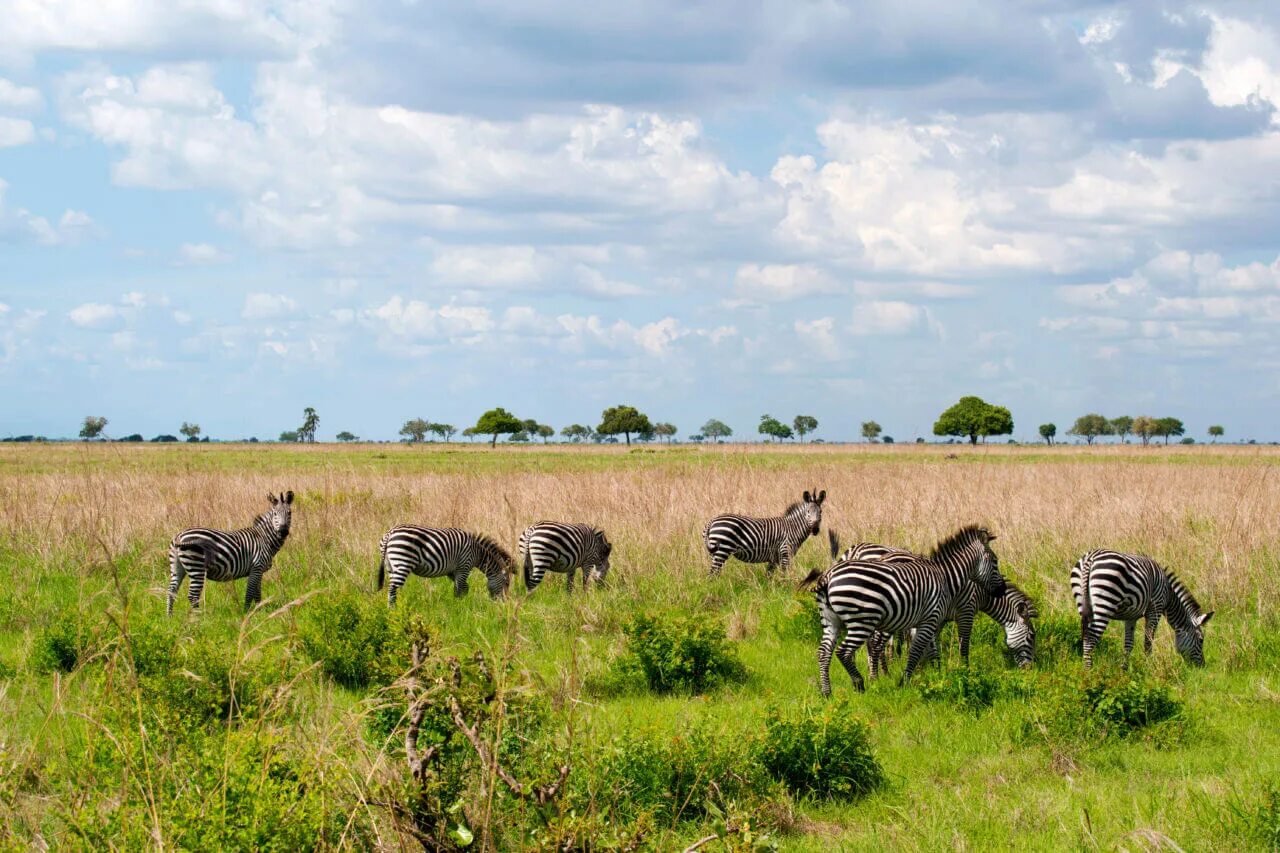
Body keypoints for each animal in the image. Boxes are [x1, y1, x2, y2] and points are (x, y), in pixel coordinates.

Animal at [373, 522, 514, 601]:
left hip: (391, 565)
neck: (478, 553)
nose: (505, 602)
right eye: (507, 583)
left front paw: (462, 603)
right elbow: (459, 588)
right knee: (392, 589)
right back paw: (392, 611)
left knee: (392, 589)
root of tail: (390, 533)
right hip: (402, 561)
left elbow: (464, 587)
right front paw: (458, 607)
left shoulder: (452, 571)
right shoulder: (464, 566)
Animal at [701, 489, 829, 573]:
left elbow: (769, 576)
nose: (815, 529)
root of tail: (712, 521)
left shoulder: (774, 558)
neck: (793, 527)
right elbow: (784, 575)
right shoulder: (785, 553)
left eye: (821, 512)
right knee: (712, 574)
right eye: (808, 512)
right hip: (722, 550)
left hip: (715, 552)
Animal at [793, 522, 1003, 696]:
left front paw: (935, 672)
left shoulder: (930, 621)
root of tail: (828, 576)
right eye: (995, 561)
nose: (1000, 590)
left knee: (824, 652)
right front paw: (905, 682)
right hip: (862, 621)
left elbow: (931, 649)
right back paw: (860, 684)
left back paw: (827, 692)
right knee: (844, 651)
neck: (946, 577)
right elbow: (916, 651)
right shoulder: (930, 618)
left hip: (831, 621)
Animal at [1070, 548, 1208, 666]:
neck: (1168, 595)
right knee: (1090, 639)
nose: (1201, 666)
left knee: (1086, 636)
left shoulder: (1131, 616)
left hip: (1082, 601)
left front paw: (1124, 670)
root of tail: (1091, 557)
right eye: (1201, 640)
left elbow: (1128, 644)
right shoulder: (1156, 608)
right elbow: (1148, 641)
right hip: (1104, 601)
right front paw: (1149, 667)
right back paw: (1089, 672)